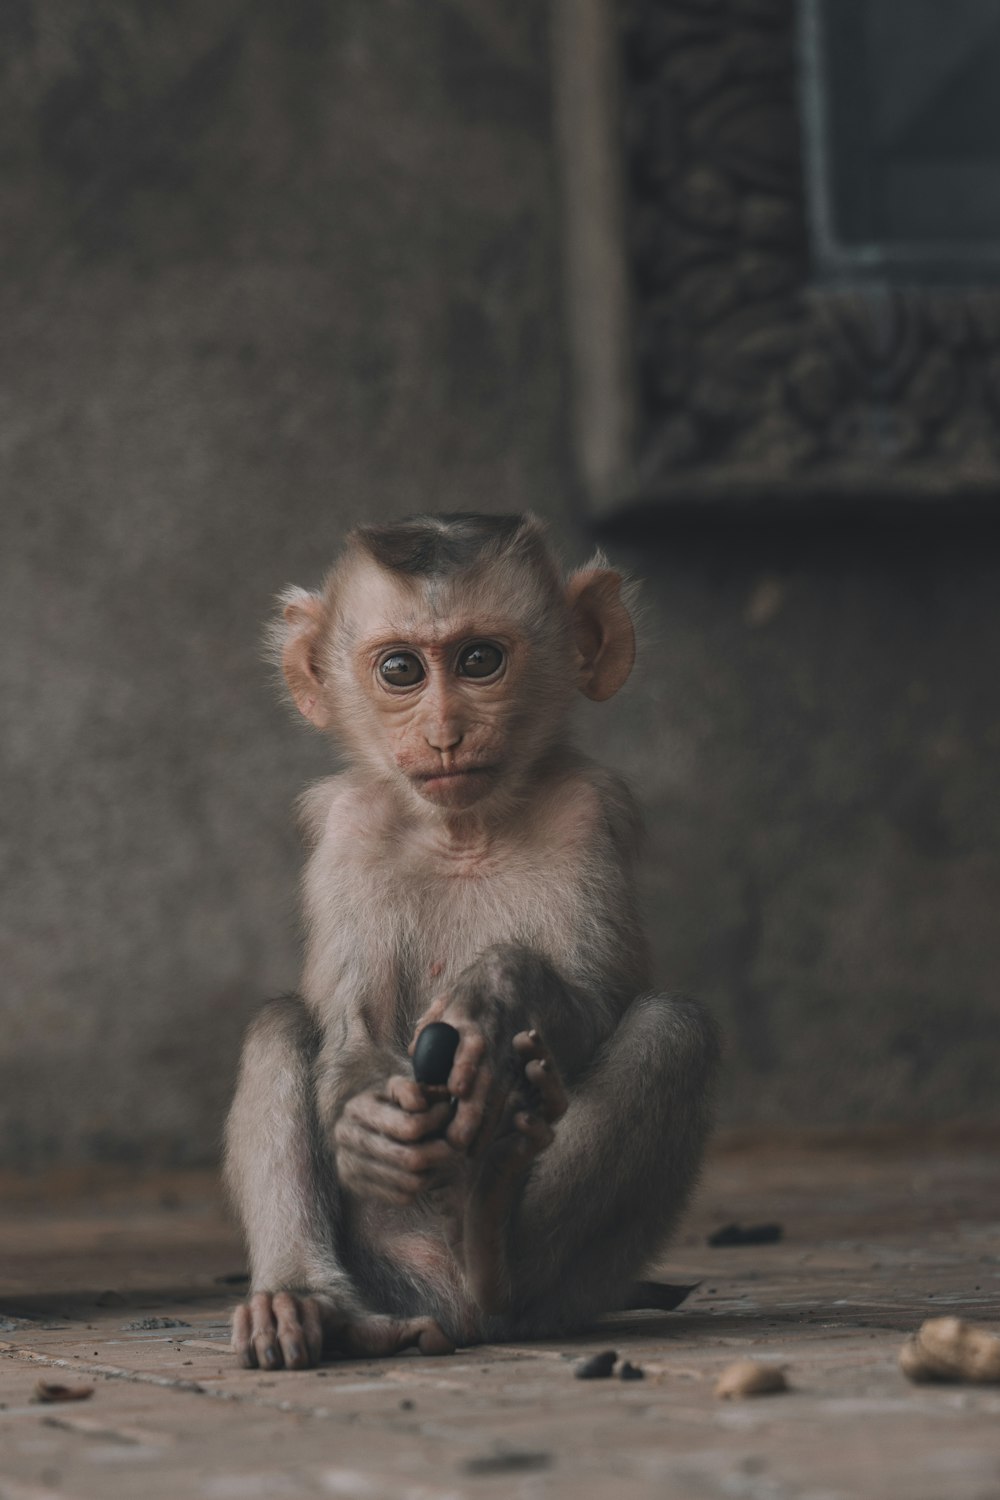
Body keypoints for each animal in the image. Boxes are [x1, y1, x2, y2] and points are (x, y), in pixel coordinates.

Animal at [224, 510, 719, 1368]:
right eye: (400, 670)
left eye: (480, 660)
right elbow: (349, 1028)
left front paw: (497, 990)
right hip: (383, 1261)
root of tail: (446, 1308)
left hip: (582, 1287)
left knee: (672, 1030)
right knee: (281, 1024)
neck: (464, 830)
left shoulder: (585, 809)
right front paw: (367, 1127)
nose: (445, 732)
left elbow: (598, 1001)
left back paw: (492, 1243)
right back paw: (310, 1305)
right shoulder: (350, 828)